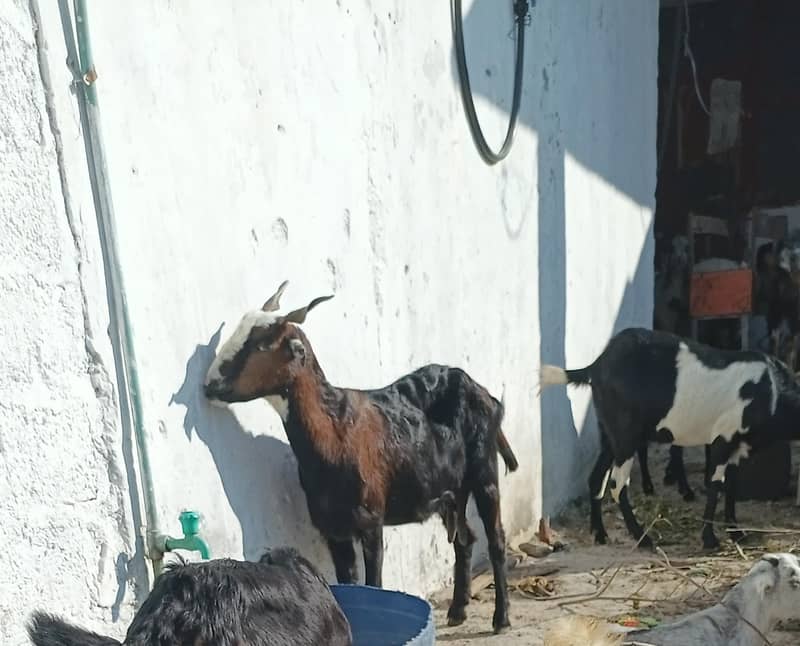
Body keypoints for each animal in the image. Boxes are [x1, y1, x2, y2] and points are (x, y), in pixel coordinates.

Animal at [203, 281, 519, 633]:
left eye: (261, 345)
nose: (210, 384)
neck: (336, 430)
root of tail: (482, 392)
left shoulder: (371, 521)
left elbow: (374, 584)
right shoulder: (333, 529)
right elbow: (350, 584)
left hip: (484, 470)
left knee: (496, 539)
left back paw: (501, 617)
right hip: (452, 490)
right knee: (464, 538)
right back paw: (457, 610)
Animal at [539, 327, 800, 550]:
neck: (772, 390)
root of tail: (596, 366)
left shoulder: (739, 446)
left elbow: (732, 485)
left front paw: (737, 533)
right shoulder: (724, 438)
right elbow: (716, 486)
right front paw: (710, 539)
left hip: (609, 433)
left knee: (596, 479)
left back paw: (601, 534)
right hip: (626, 435)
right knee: (617, 484)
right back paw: (643, 538)